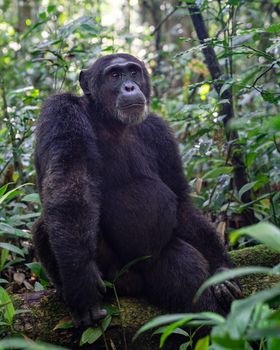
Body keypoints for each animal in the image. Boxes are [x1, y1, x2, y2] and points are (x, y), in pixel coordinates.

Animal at [32, 53, 241, 326]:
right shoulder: (62, 112)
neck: (110, 121)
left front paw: (223, 271)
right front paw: (81, 285)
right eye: (114, 75)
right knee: (50, 221)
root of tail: (133, 285)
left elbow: (181, 200)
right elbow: (70, 183)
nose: (130, 87)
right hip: (112, 277)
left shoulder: (161, 132)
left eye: (133, 72)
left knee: (187, 272)